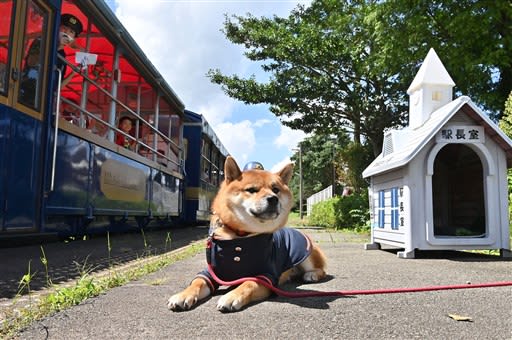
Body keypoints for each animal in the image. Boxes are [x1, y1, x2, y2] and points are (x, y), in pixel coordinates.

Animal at [168, 155, 328, 312]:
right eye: (251, 190)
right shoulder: (211, 272)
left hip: (306, 256)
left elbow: (248, 283)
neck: (240, 236)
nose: (273, 198)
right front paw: (183, 295)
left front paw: (231, 296)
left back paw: (311, 274)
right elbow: (197, 282)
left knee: (321, 270)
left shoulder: (266, 275)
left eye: (275, 190)